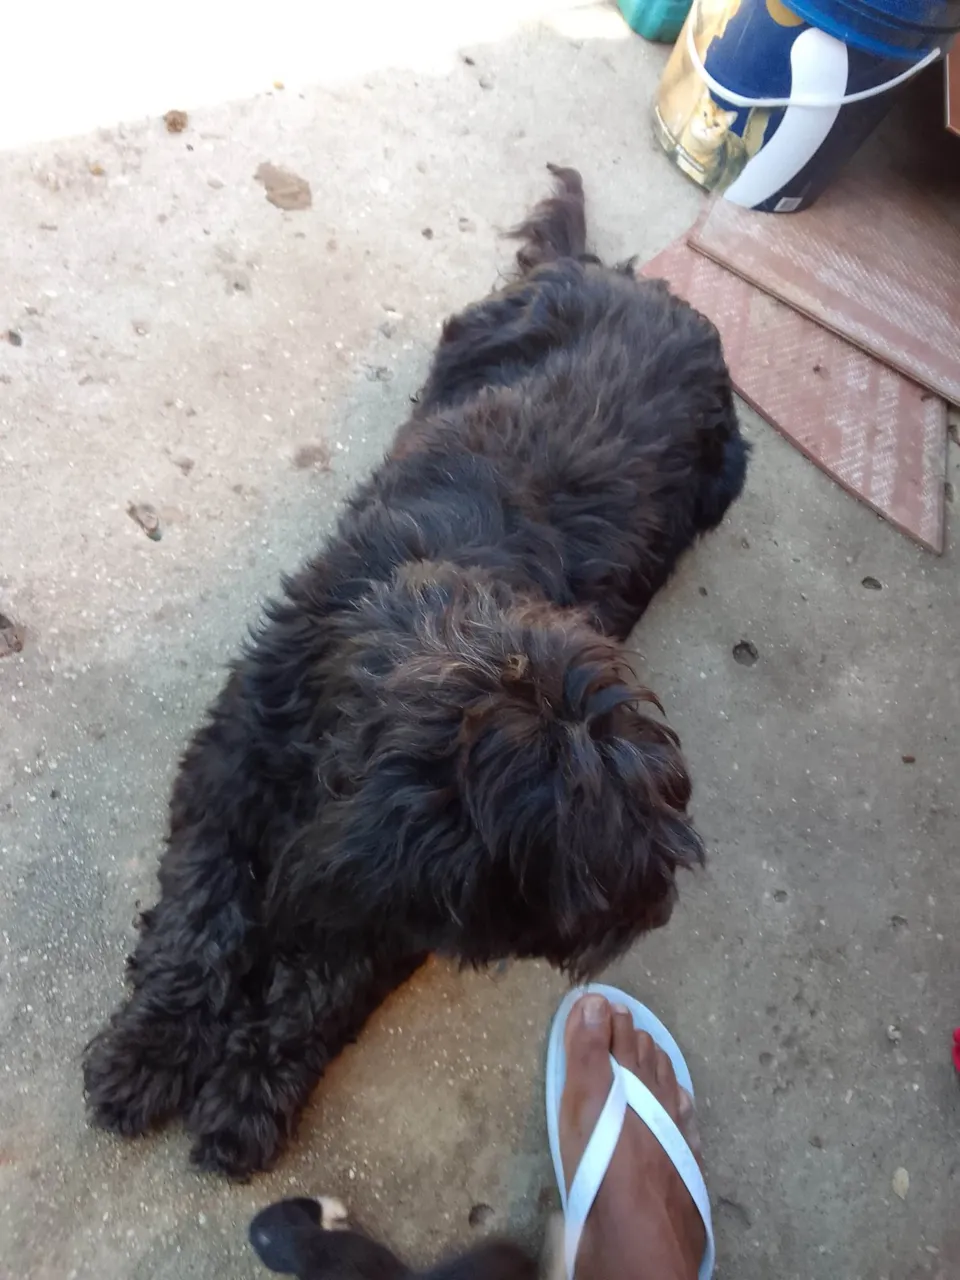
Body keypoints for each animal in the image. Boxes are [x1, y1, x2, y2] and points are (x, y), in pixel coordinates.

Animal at [82, 166, 749, 1179]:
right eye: (565, 896)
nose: (662, 898)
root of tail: (625, 278)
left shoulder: (385, 905)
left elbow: (324, 985)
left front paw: (251, 1089)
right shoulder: (230, 773)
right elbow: (201, 918)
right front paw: (152, 1048)